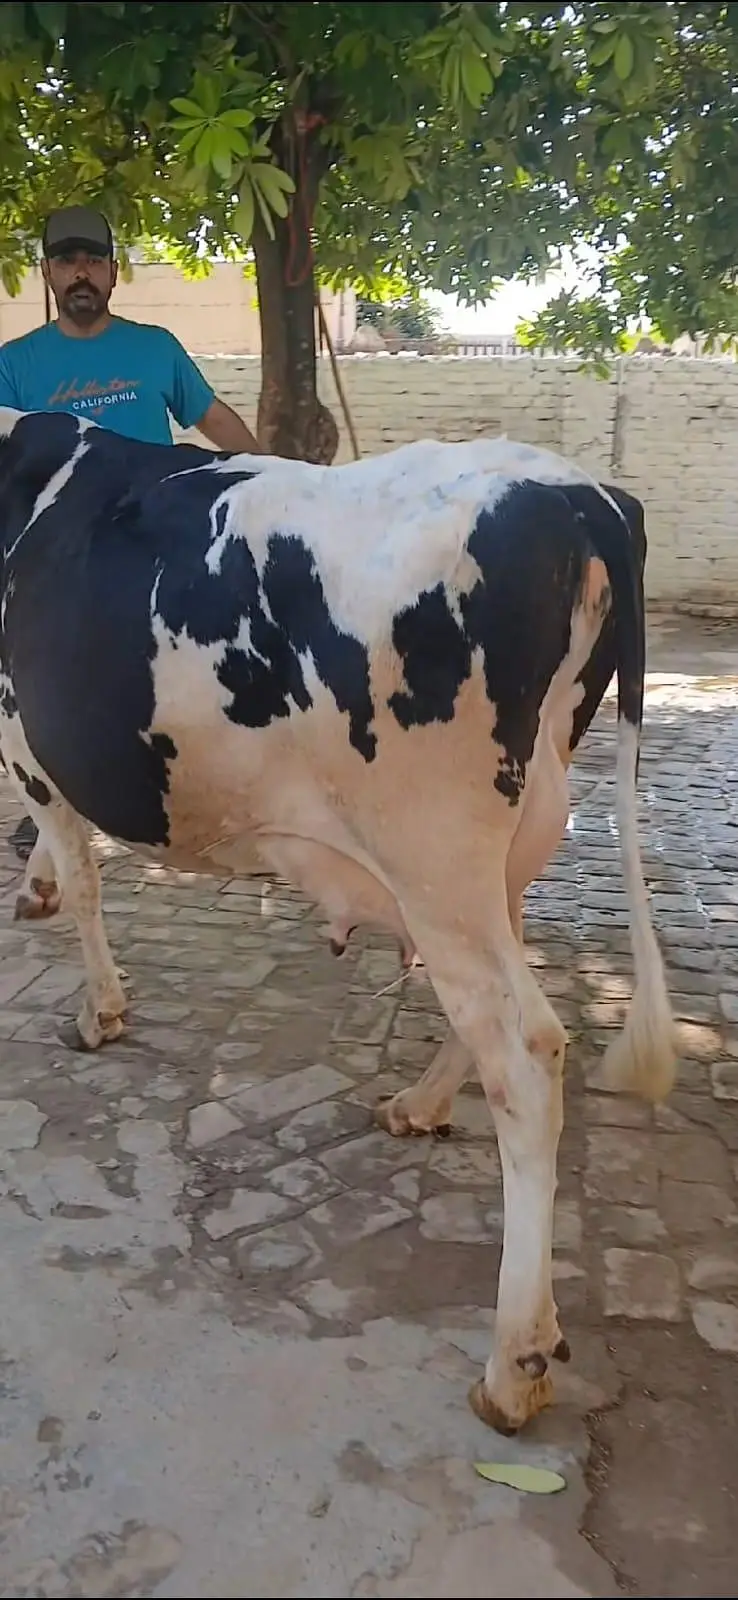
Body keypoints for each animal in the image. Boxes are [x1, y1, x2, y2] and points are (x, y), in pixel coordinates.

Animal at [0, 407, 675, 1436]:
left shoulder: (21, 737)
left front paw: (97, 1008)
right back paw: (420, 1105)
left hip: (431, 846)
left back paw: (514, 1362)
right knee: (501, 1003)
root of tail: (574, 492)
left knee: (524, 1048)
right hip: (505, 838)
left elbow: (80, 872)